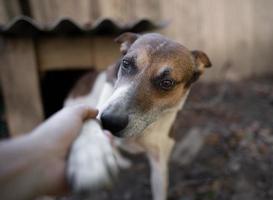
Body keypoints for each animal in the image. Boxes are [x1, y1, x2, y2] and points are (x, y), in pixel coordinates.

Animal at [64, 32, 210, 200]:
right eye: (126, 63)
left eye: (167, 83)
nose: (110, 121)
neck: (143, 130)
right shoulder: (101, 107)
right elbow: (90, 121)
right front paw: (90, 154)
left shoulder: (159, 162)